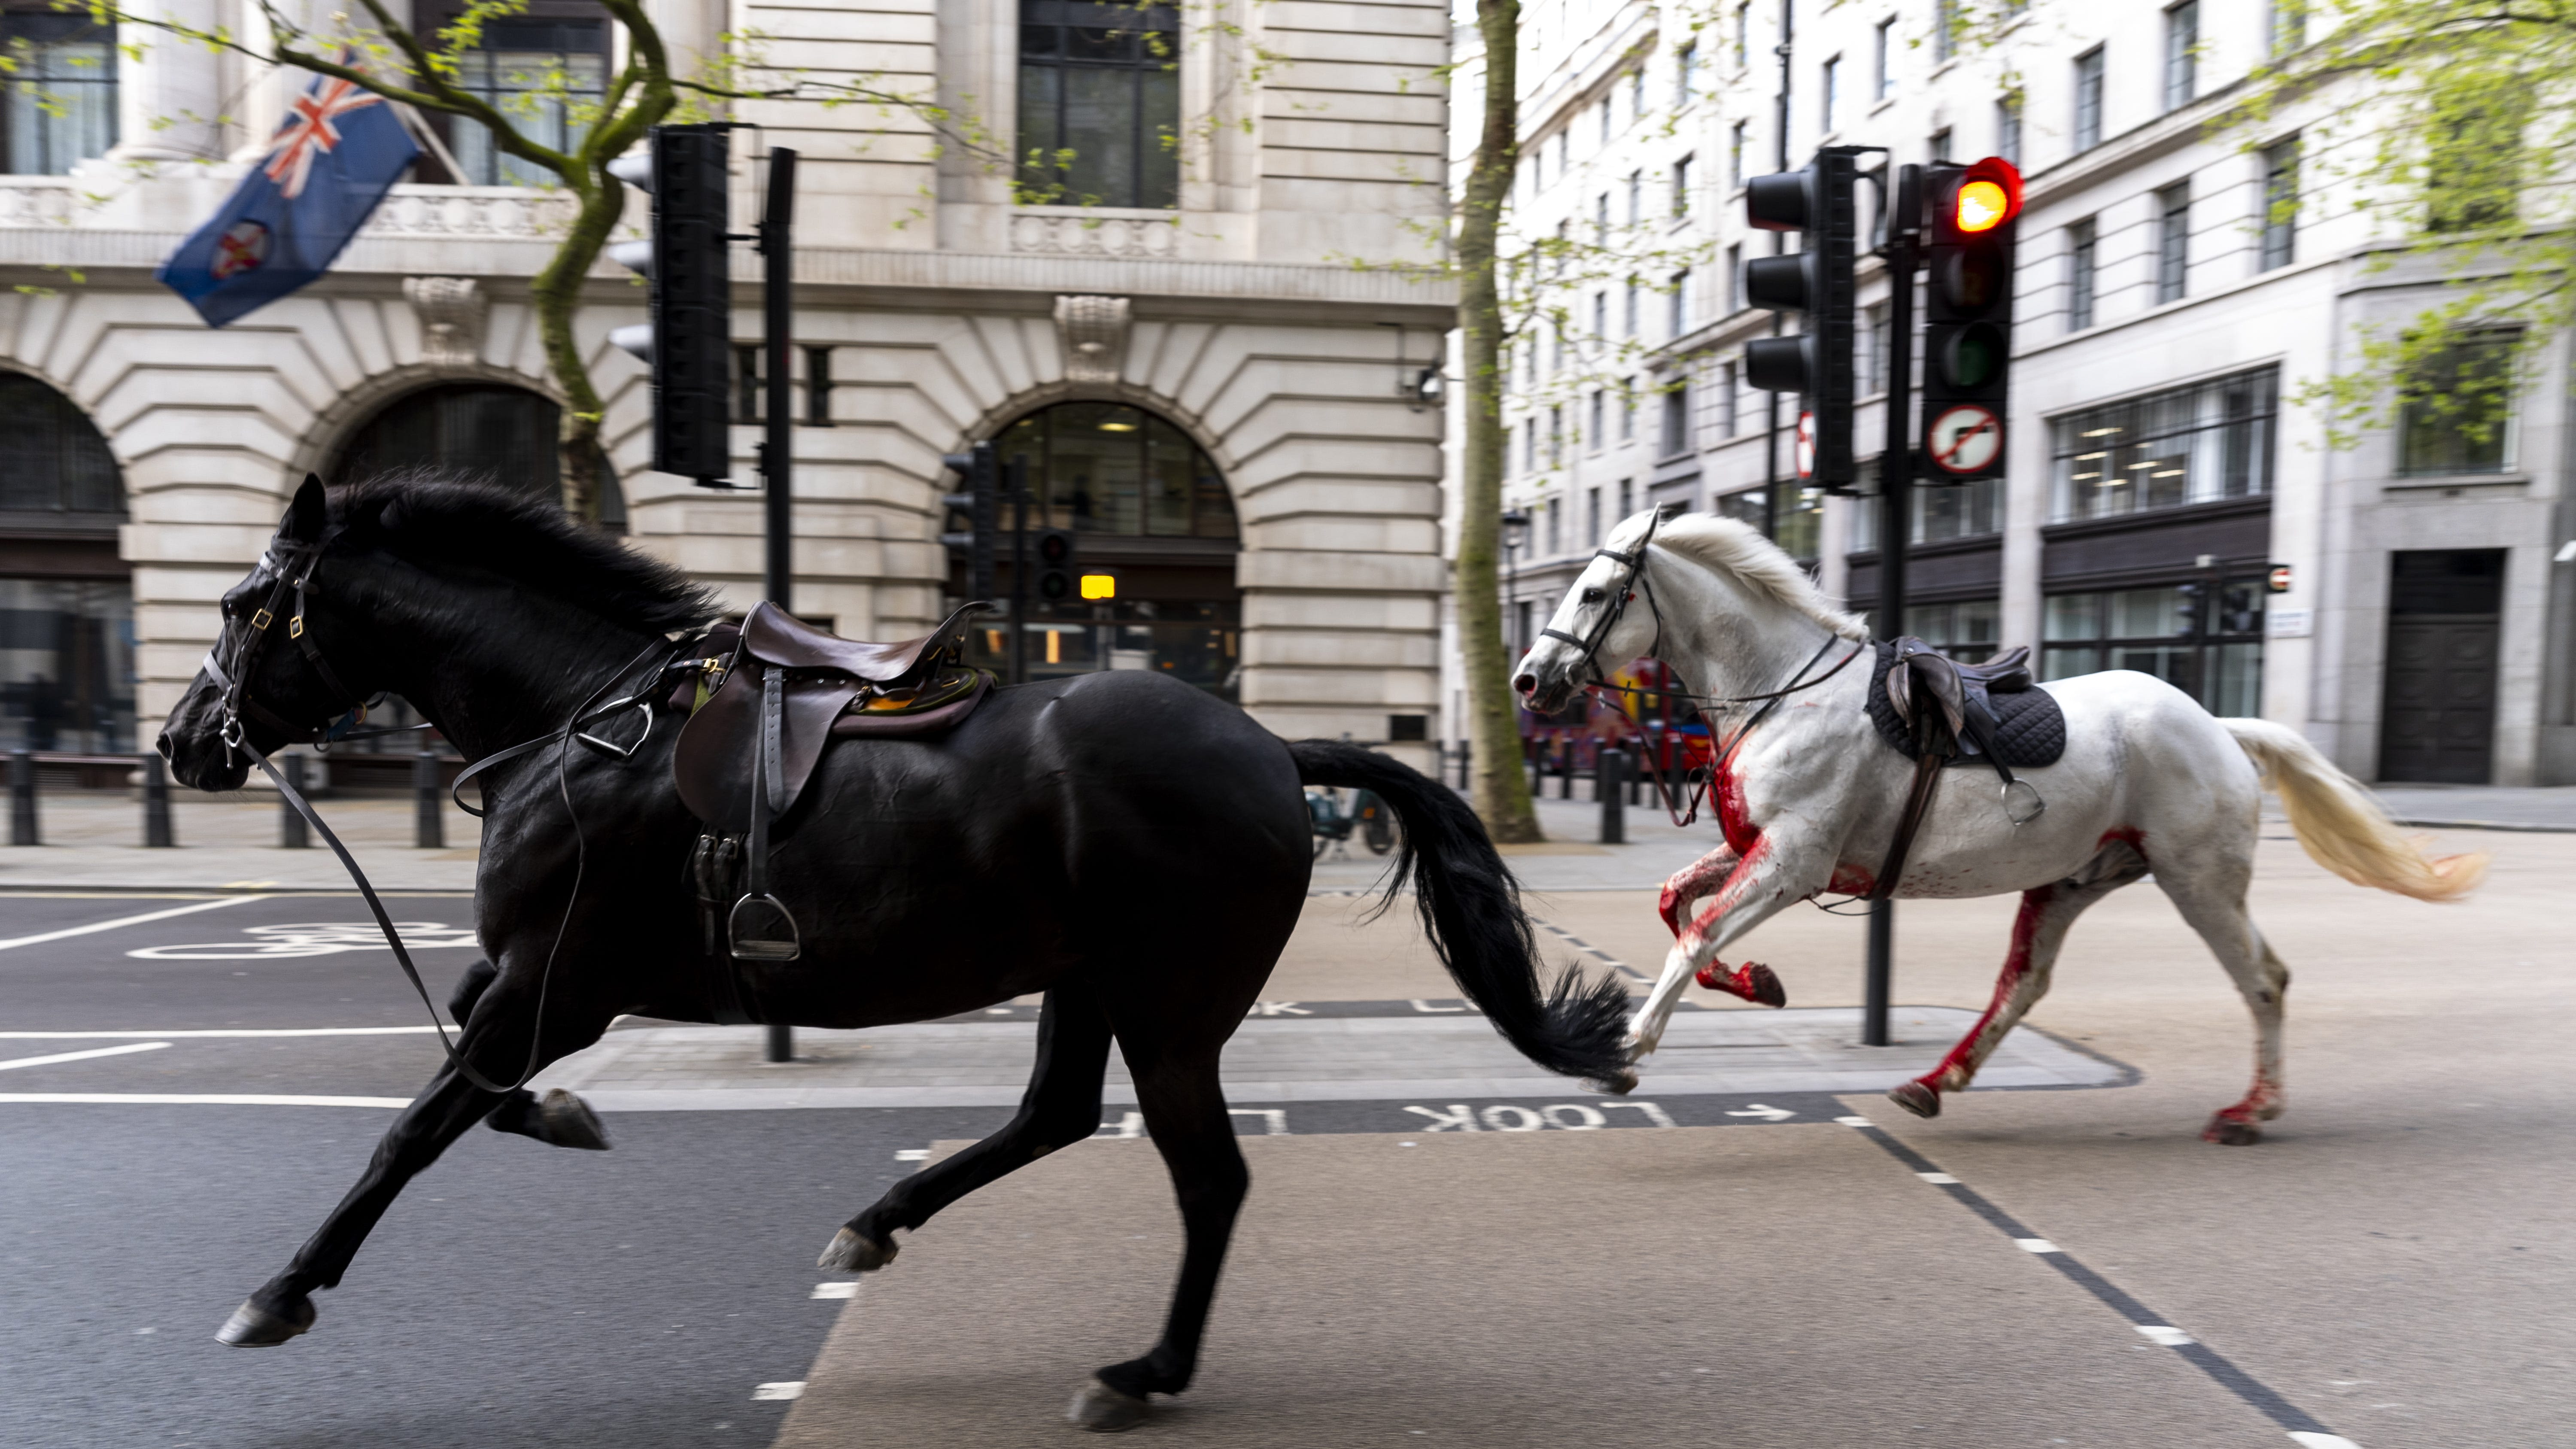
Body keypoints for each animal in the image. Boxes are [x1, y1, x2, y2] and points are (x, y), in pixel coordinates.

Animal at [161, 479, 1618, 1423]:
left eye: (241, 604)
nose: (181, 744)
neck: (584, 720)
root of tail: (1270, 745)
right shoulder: (531, 980)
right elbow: (473, 1078)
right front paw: (567, 1115)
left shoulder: (557, 981)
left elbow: (414, 1126)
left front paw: (281, 1289)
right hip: (1087, 978)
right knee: (1052, 1114)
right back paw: (879, 1222)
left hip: (1167, 1003)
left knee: (1206, 1177)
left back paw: (1142, 1372)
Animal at [1515, 508, 2483, 1139]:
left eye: (1595, 592)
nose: (1528, 680)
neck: (1783, 691)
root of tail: (2219, 725)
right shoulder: (1758, 849)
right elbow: (1677, 904)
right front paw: (1758, 981)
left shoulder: (1793, 861)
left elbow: (1695, 934)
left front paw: (1628, 1048)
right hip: (2072, 880)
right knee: (2024, 985)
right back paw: (1935, 1082)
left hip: (2199, 880)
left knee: (2265, 980)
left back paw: (2254, 1108)